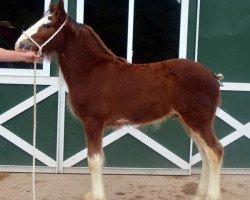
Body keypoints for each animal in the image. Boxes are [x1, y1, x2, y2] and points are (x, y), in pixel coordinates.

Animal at [15, 0, 223, 200]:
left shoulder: (93, 122)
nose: (19, 45)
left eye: (47, 24)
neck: (90, 72)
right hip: (188, 122)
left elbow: (93, 160)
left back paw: (211, 195)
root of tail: (213, 76)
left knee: (215, 152)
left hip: (198, 121)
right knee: (205, 154)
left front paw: (97, 196)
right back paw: (199, 195)